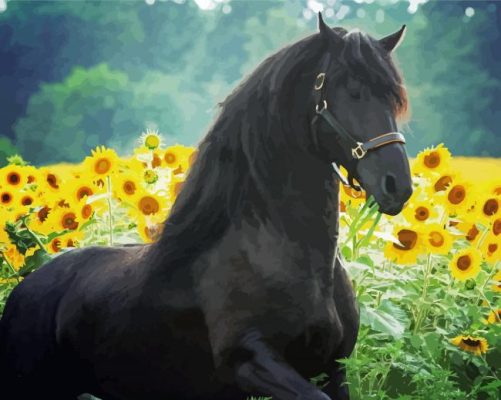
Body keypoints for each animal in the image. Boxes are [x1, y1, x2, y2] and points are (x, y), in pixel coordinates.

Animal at [0, 14, 410, 400]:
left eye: (393, 99)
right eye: (353, 91)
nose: (398, 186)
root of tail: (23, 288)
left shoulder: (334, 369)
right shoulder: (250, 363)